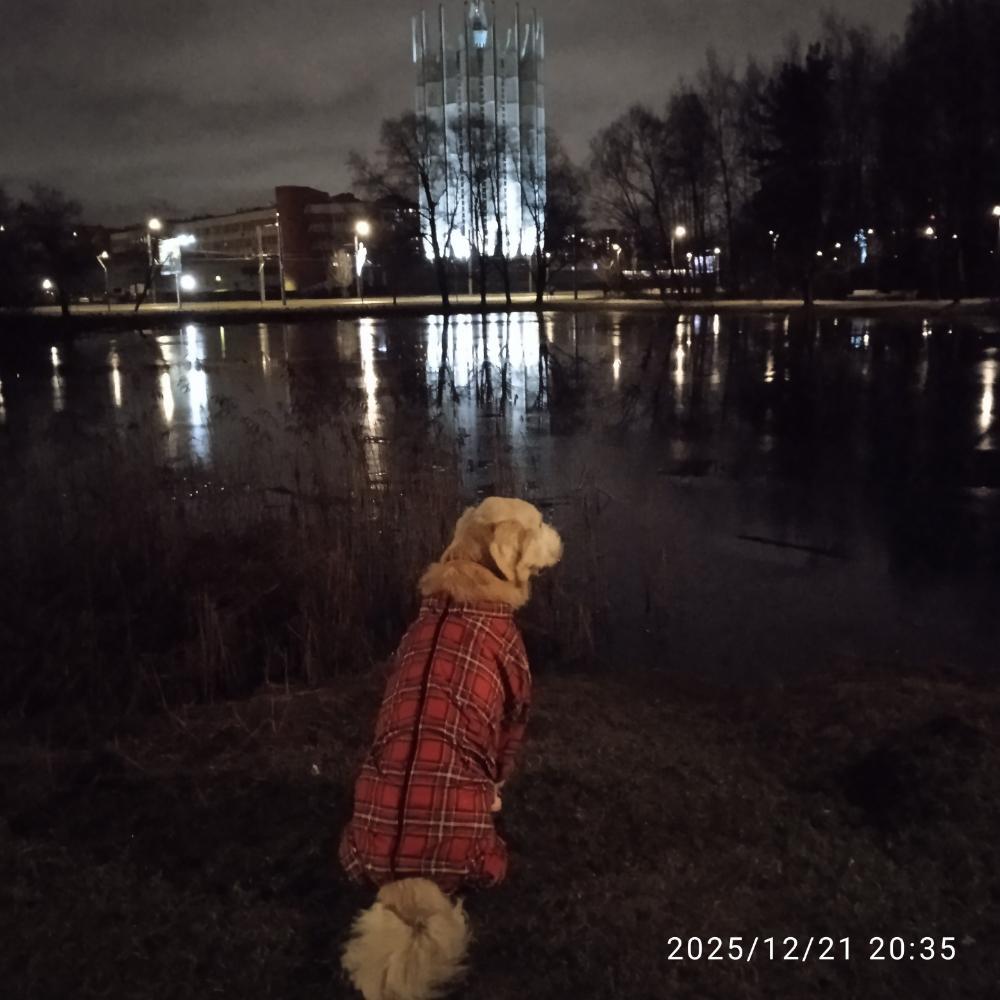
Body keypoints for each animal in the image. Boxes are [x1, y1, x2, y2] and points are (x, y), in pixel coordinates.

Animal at [338, 497, 563, 1000]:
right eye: (539, 524)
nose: (561, 535)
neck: (467, 582)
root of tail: (409, 883)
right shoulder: (513, 709)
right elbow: (501, 766)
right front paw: (498, 796)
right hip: (488, 856)